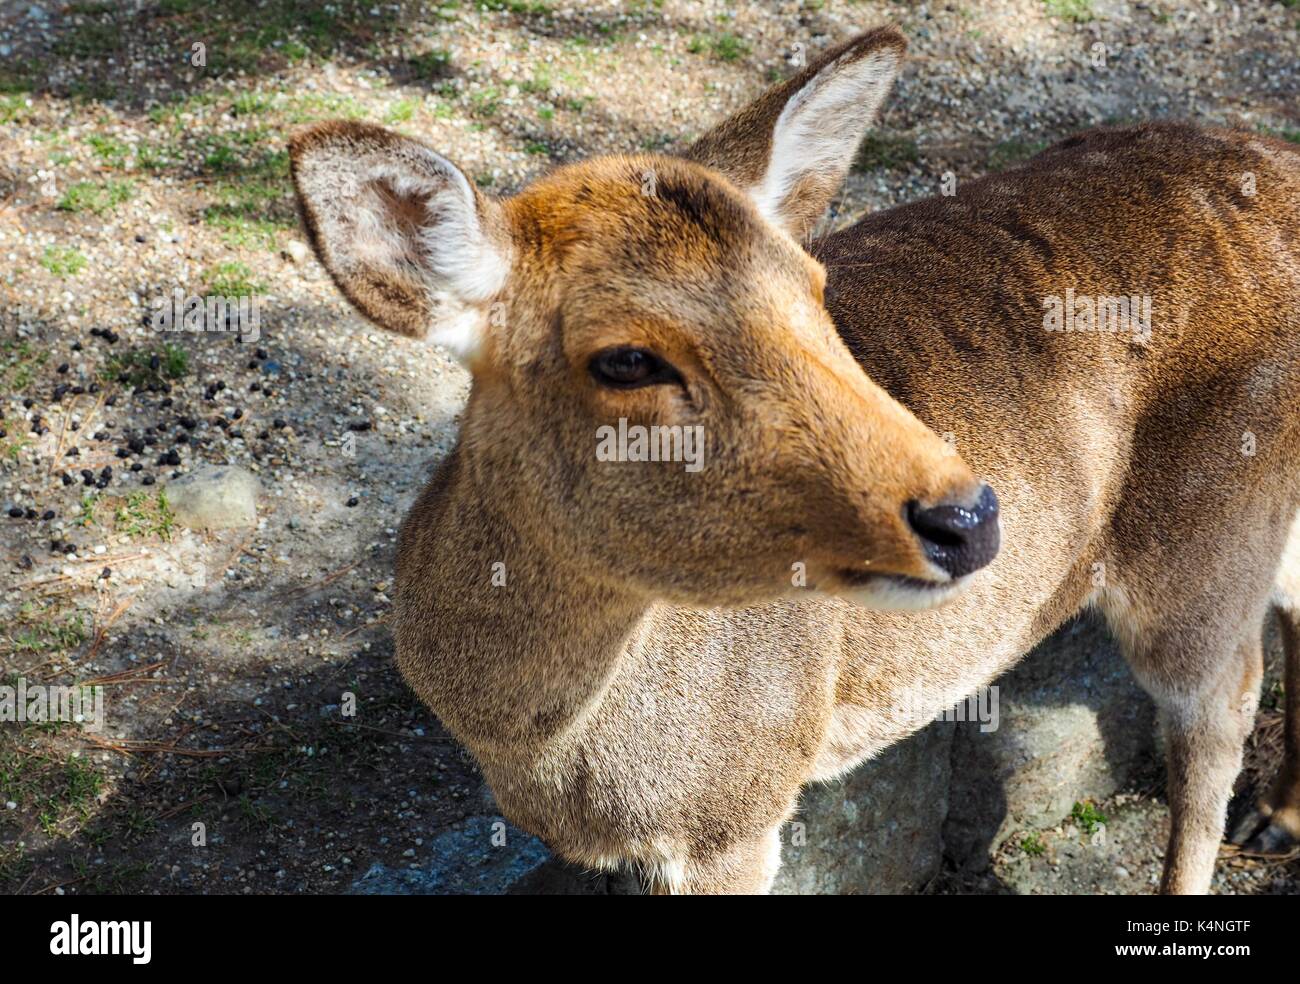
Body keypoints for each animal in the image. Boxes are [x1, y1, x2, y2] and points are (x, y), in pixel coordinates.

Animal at [287, 28, 1300, 889]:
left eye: (816, 290)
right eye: (625, 359)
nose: (968, 516)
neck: (536, 751)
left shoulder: (738, 805)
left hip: (1201, 542)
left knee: (1222, 706)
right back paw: (1278, 818)